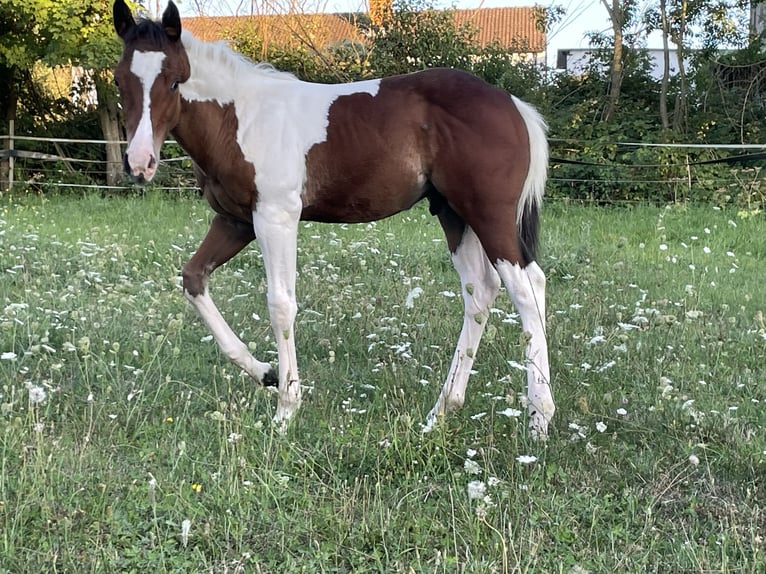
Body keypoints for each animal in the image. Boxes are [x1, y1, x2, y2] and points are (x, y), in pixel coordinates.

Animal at [112, 0, 555, 438]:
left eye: (174, 81)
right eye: (119, 82)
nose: (140, 162)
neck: (241, 119)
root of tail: (514, 104)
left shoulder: (275, 217)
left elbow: (280, 304)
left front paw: (286, 408)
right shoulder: (235, 222)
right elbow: (193, 279)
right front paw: (266, 373)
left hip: (488, 214)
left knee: (526, 288)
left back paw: (539, 419)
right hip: (454, 214)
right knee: (480, 290)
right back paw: (441, 412)